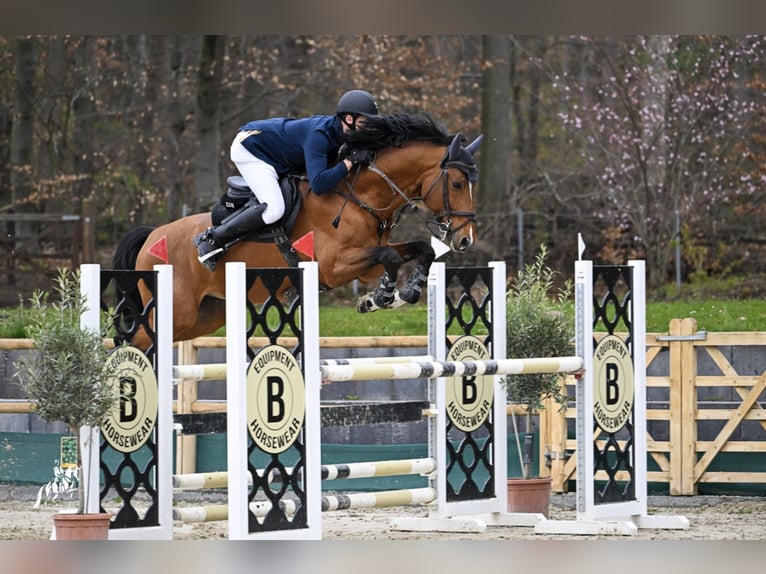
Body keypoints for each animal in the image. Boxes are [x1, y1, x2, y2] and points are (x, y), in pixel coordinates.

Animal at [112, 111, 486, 352]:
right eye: (456, 183)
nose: (465, 238)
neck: (361, 196)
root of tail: (151, 236)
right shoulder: (334, 267)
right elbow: (391, 255)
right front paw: (380, 297)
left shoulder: (366, 264)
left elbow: (419, 249)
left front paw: (397, 294)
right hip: (177, 310)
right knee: (130, 344)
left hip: (203, 316)